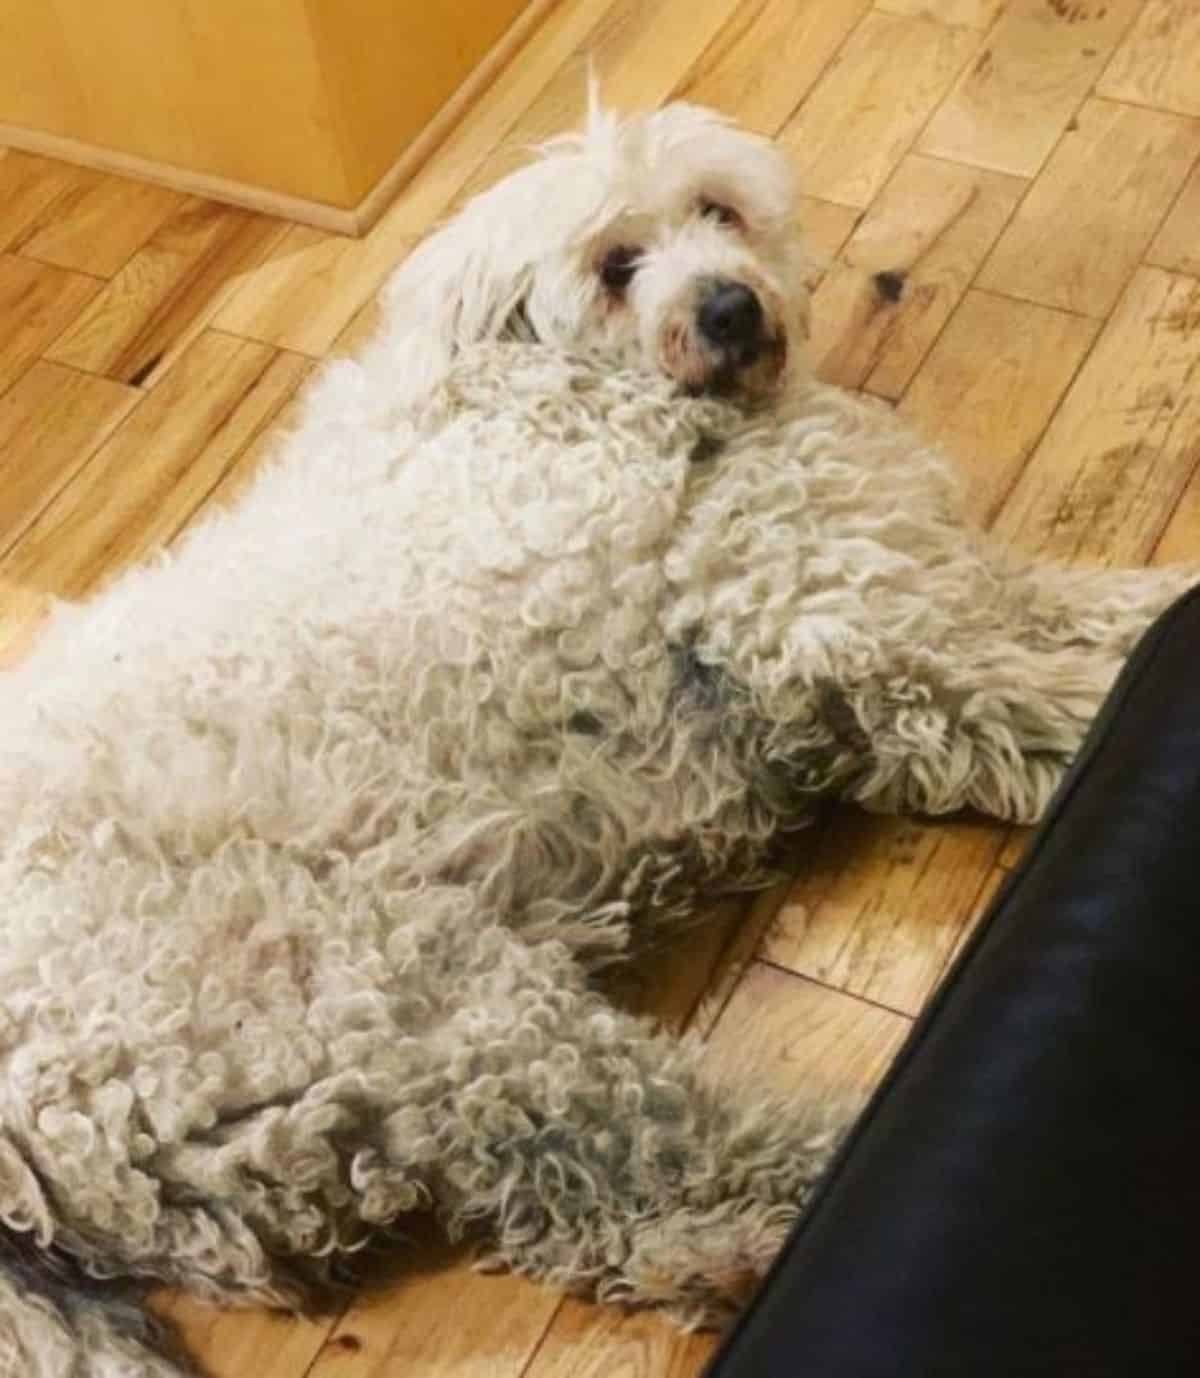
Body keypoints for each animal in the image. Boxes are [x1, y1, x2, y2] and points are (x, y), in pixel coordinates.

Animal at [2, 99, 1190, 1378]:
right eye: (616, 268)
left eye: (716, 210)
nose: (727, 307)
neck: (564, 385)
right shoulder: (858, 635)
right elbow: (1052, 688)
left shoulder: (912, 602)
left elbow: (1080, 616)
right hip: (406, 992)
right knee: (656, 1153)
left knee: (604, 1209)